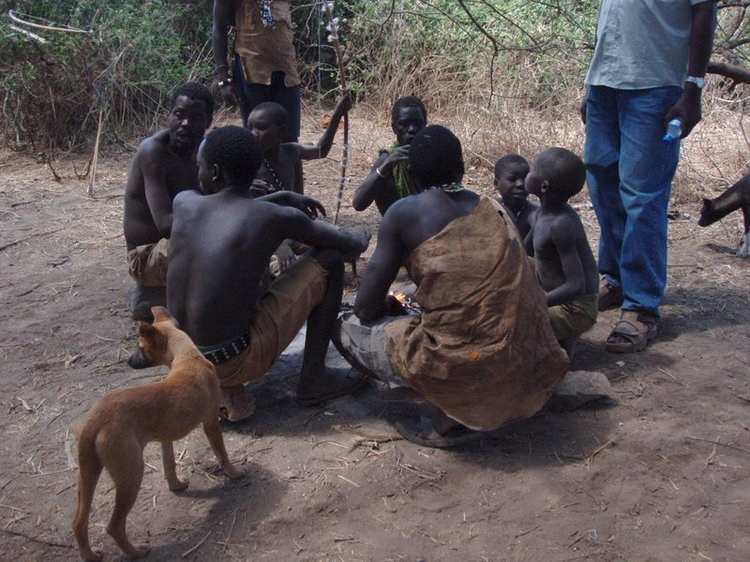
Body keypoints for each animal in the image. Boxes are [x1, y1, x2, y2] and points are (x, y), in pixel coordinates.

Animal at [73, 306, 245, 560]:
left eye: (140, 347)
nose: (128, 360)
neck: (187, 357)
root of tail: (95, 421)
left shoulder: (165, 438)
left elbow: (169, 463)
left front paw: (176, 485)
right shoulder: (210, 422)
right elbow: (221, 453)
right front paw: (233, 473)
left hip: (88, 475)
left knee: (78, 522)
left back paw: (89, 555)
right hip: (131, 474)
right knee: (114, 526)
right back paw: (135, 552)